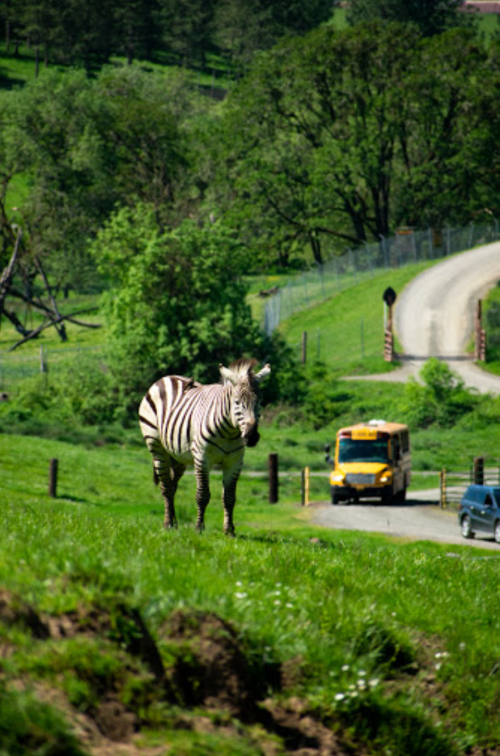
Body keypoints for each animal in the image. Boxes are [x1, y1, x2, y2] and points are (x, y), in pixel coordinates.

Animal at [139, 358, 272, 532]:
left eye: (259, 402)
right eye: (237, 402)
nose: (252, 437)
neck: (229, 432)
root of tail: (166, 378)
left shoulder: (234, 461)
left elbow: (229, 497)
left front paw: (229, 530)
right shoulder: (202, 458)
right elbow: (202, 495)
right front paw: (199, 528)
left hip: (178, 456)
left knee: (173, 485)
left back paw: (174, 523)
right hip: (157, 448)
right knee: (166, 487)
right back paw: (168, 524)